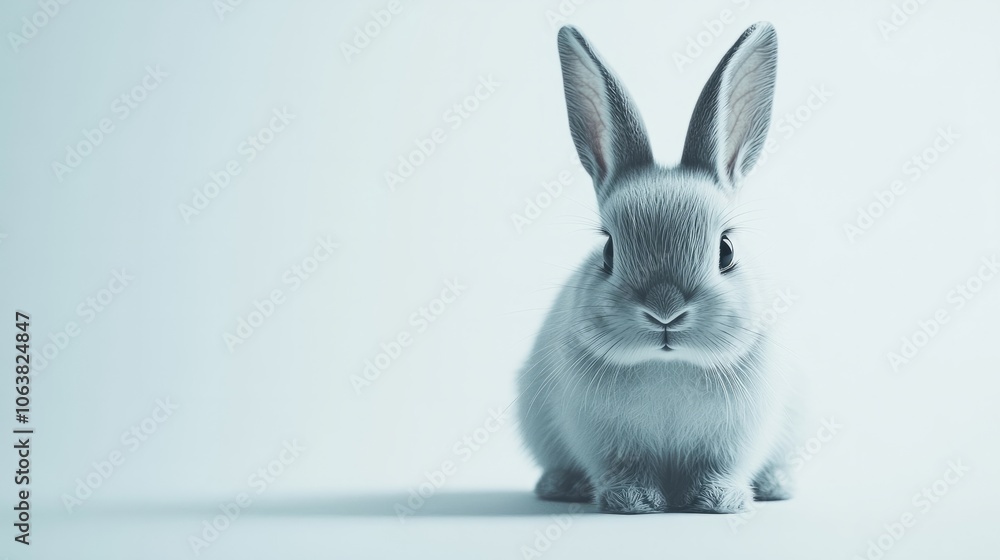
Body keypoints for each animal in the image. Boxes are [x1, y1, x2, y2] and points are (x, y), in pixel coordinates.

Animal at [517, 23, 797, 514]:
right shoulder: (608, 444)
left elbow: (720, 468)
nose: (665, 311)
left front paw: (718, 500)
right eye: (608, 251)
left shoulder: (733, 443)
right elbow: (626, 468)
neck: (668, 365)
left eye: (726, 250)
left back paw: (774, 486)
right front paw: (631, 501)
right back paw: (561, 485)